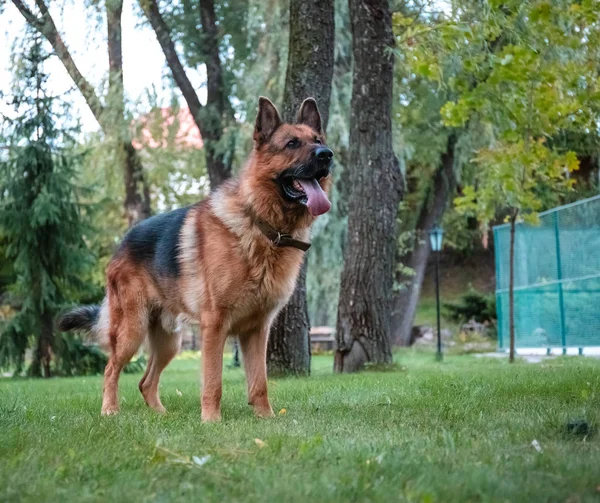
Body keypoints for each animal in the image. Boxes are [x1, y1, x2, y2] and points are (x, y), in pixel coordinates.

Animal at [57, 97, 332, 422]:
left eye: (317, 141)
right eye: (291, 144)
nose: (327, 155)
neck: (259, 223)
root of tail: (123, 242)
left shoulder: (256, 331)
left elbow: (259, 383)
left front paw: (266, 419)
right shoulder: (214, 327)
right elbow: (213, 381)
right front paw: (211, 421)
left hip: (169, 343)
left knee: (145, 381)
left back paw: (161, 415)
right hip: (131, 332)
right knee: (111, 369)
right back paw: (110, 410)